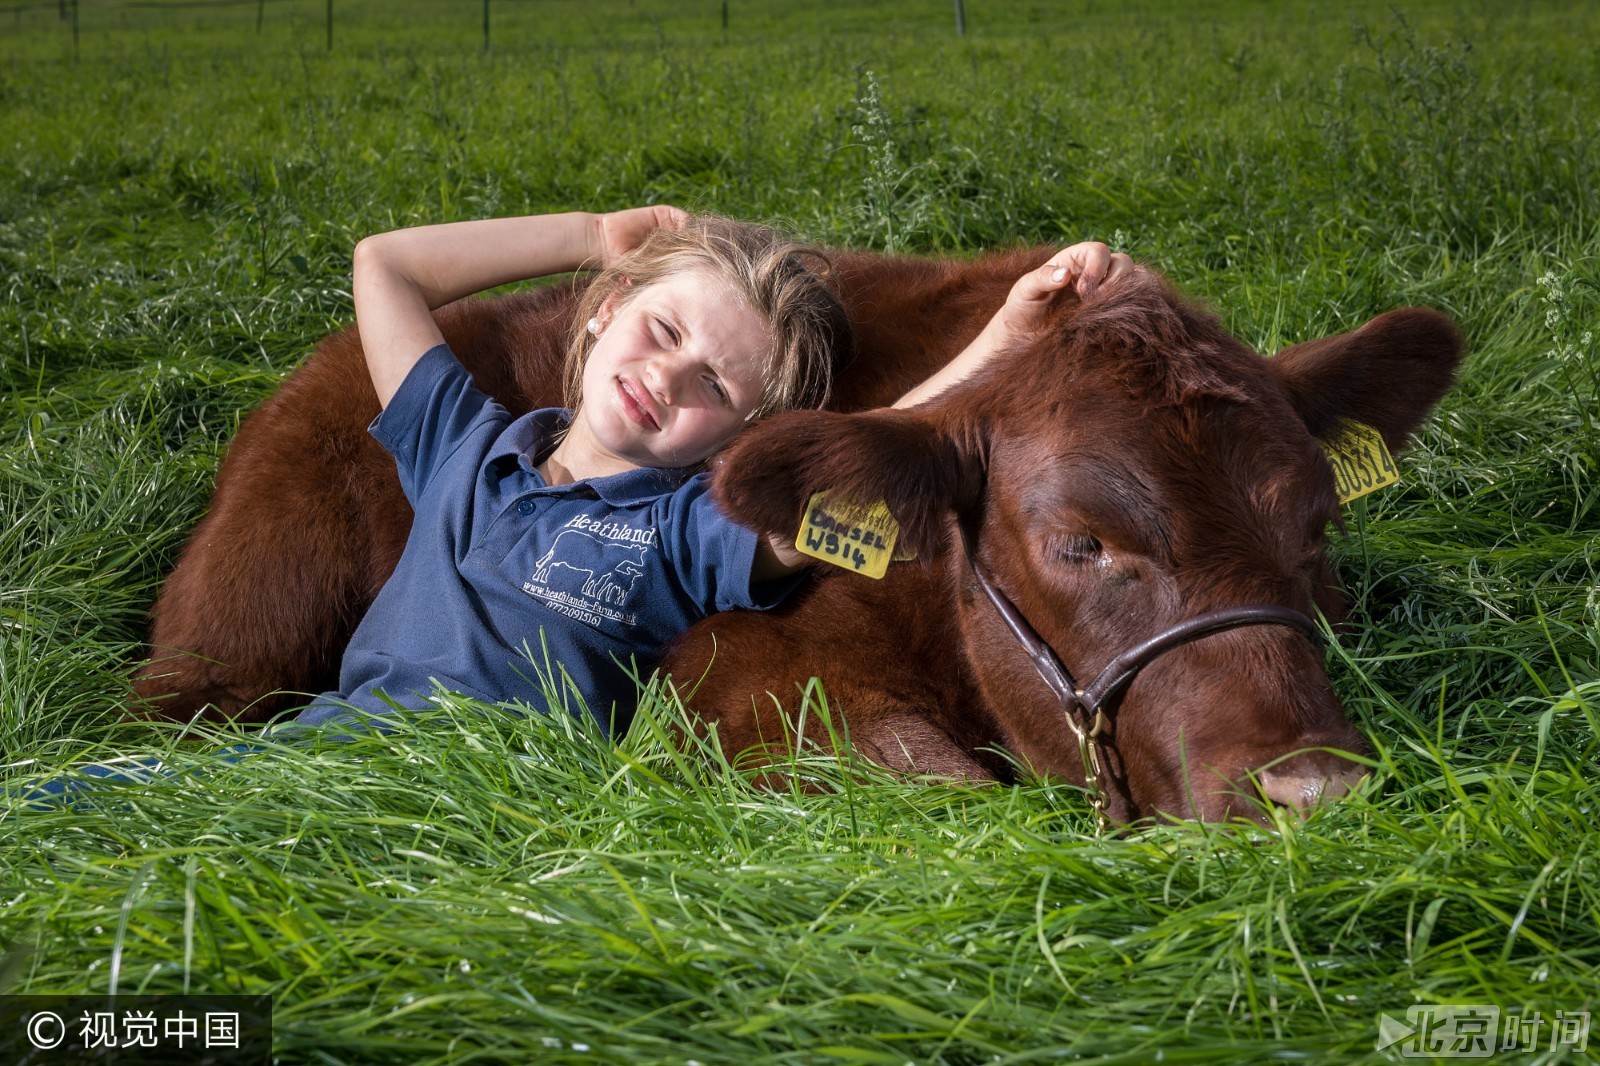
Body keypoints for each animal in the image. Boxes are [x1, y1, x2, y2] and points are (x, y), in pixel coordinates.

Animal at [134, 249, 1465, 819]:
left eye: (1316, 528)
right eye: (1080, 544)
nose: (1314, 790)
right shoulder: (736, 678)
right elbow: (938, 794)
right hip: (235, 630)